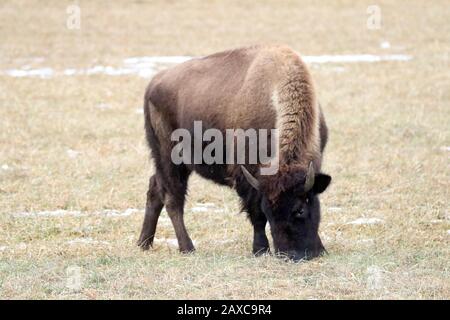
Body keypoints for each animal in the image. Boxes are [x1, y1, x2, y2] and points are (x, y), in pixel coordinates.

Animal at [137, 45, 330, 262]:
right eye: (270, 211)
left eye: (300, 210)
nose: (289, 254)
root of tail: (153, 84)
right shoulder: (246, 177)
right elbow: (256, 215)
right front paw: (260, 250)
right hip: (169, 159)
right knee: (172, 200)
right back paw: (187, 248)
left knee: (155, 188)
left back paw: (144, 243)